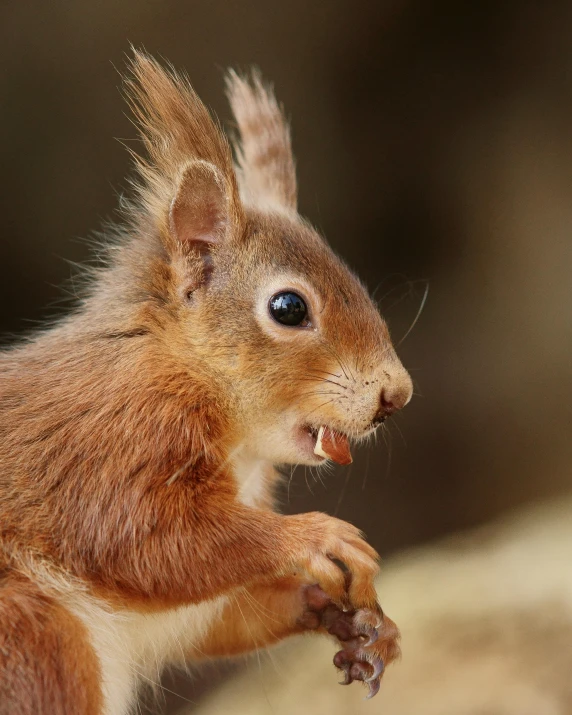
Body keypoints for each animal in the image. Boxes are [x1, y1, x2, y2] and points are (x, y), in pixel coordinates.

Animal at [0, 53, 412, 715]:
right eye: (289, 308)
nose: (395, 395)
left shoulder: (194, 612)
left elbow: (227, 614)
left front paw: (359, 624)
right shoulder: (110, 438)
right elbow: (145, 538)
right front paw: (316, 537)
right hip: (36, 642)